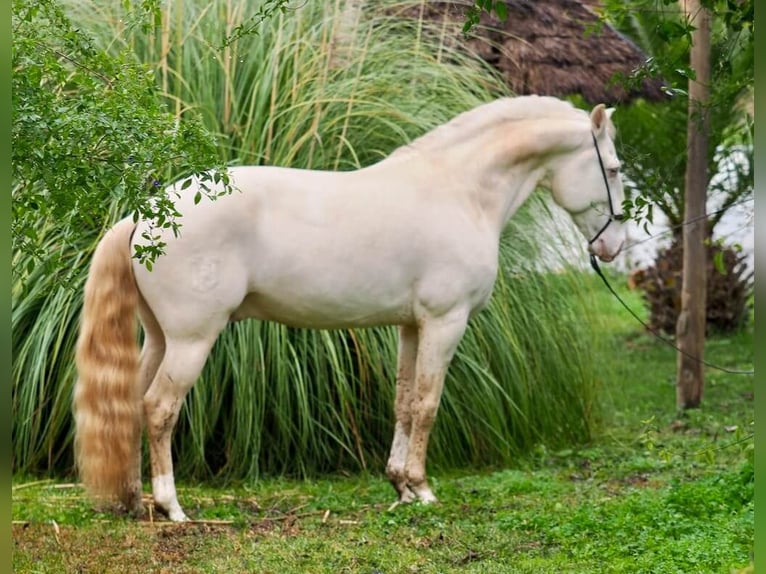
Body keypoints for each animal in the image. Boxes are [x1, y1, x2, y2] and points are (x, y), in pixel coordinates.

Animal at [75, 97, 632, 524]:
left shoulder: (412, 326)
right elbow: (428, 405)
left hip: (159, 338)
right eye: (612, 169)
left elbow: (404, 403)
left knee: (130, 405)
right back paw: (172, 507)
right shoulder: (445, 321)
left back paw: (134, 501)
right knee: (159, 409)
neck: (460, 191)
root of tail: (147, 213)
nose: (614, 248)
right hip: (192, 340)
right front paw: (423, 489)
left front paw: (400, 486)